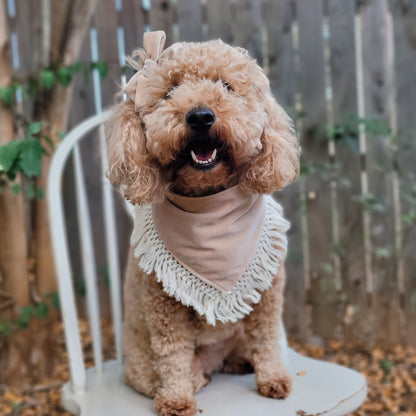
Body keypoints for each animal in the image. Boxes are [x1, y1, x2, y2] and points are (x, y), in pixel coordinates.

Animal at [105, 30, 300, 416]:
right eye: (169, 91)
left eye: (226, 85)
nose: (200, 117)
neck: (209, 205)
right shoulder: (164, 306)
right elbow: (172, 353)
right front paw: (176, 398)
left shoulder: (268, 292)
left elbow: (268, 337)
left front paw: (273, 378)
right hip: (142, 367)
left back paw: (242, 362)